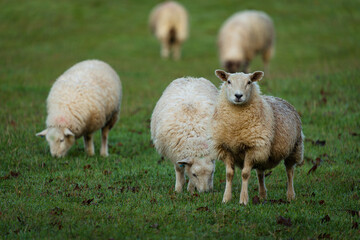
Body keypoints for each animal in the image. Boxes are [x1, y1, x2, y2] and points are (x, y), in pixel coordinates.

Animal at [211, 69, 304, 204]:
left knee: (290, 171)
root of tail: (280, 99)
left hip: (294, 148)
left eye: (249, 82)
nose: (238, 96)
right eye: (228, 81)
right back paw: (262, 195)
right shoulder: (226, 148)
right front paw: (226, 198)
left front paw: (243, 200)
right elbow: (229, 174)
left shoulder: (252, 147)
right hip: (262, 153)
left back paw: (290, 195)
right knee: (260, 173)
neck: (235, 127)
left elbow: (245, 174)